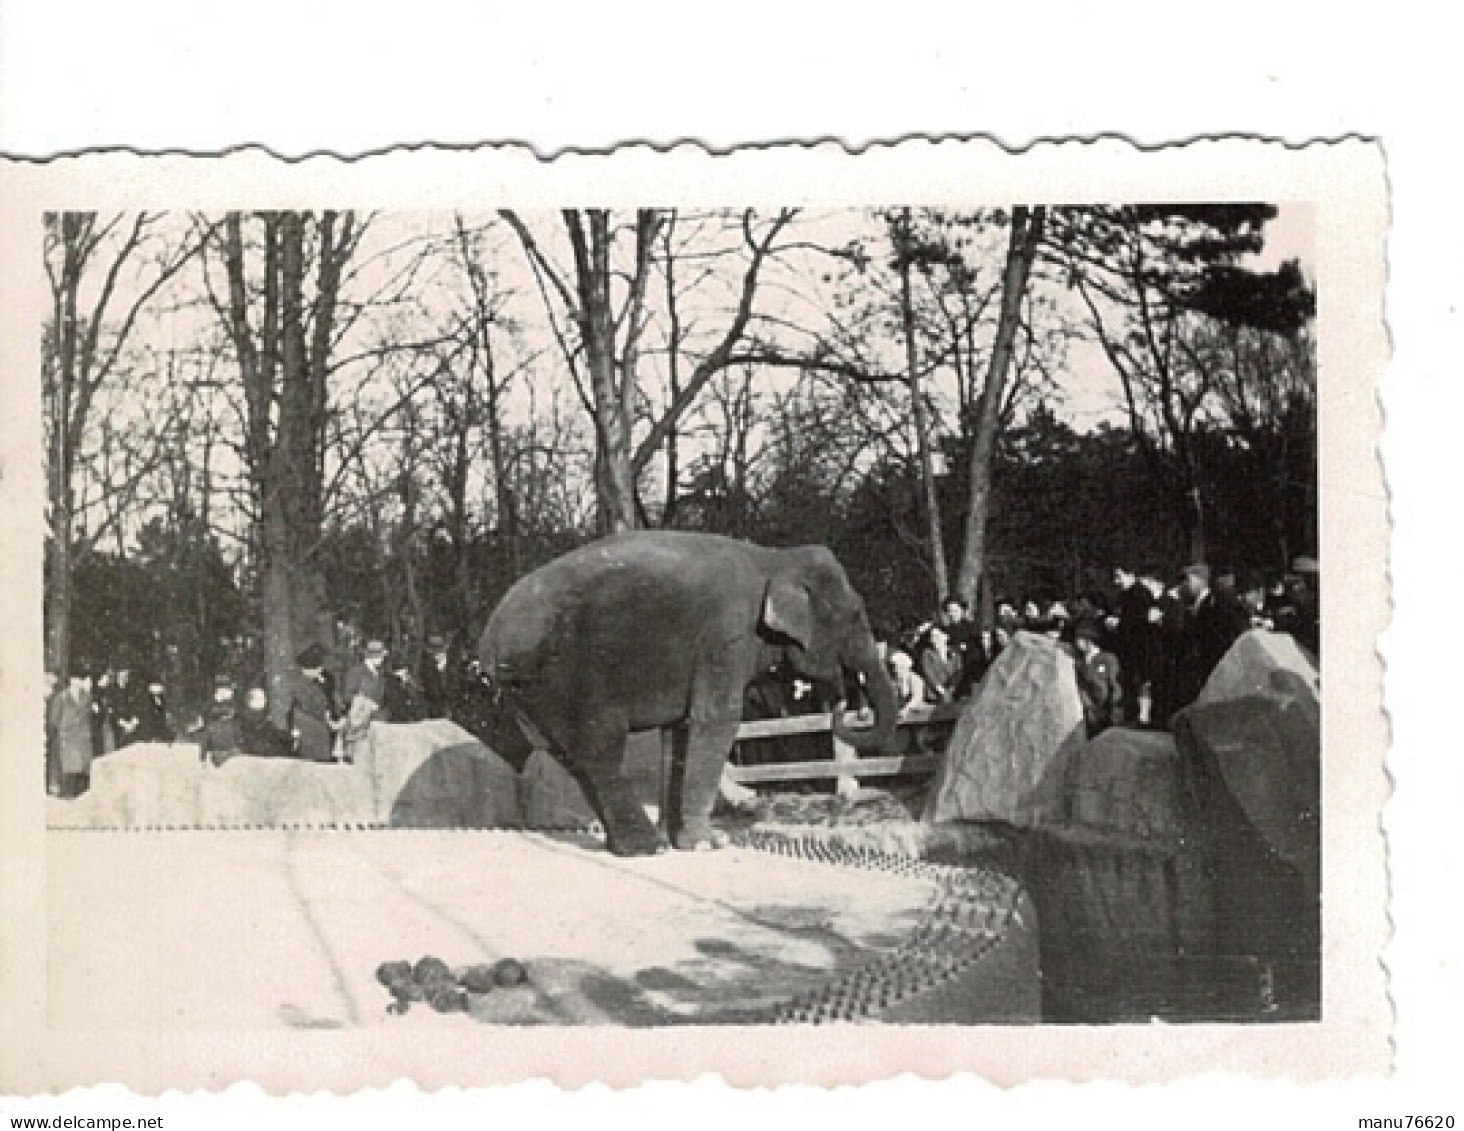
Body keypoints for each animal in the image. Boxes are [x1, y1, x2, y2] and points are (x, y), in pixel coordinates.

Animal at [480, 529, 895, 854]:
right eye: (856, 615)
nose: (844, 703)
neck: (774, 557)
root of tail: (491, 641)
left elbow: (679, 729)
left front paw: (681, 838)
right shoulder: (726, 635)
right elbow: (716, 719)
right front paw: (707, 843)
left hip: (531, 695)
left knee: (569, 756)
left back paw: (627, 845)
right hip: (569, 675)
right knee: (601, 747)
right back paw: (647, 848)